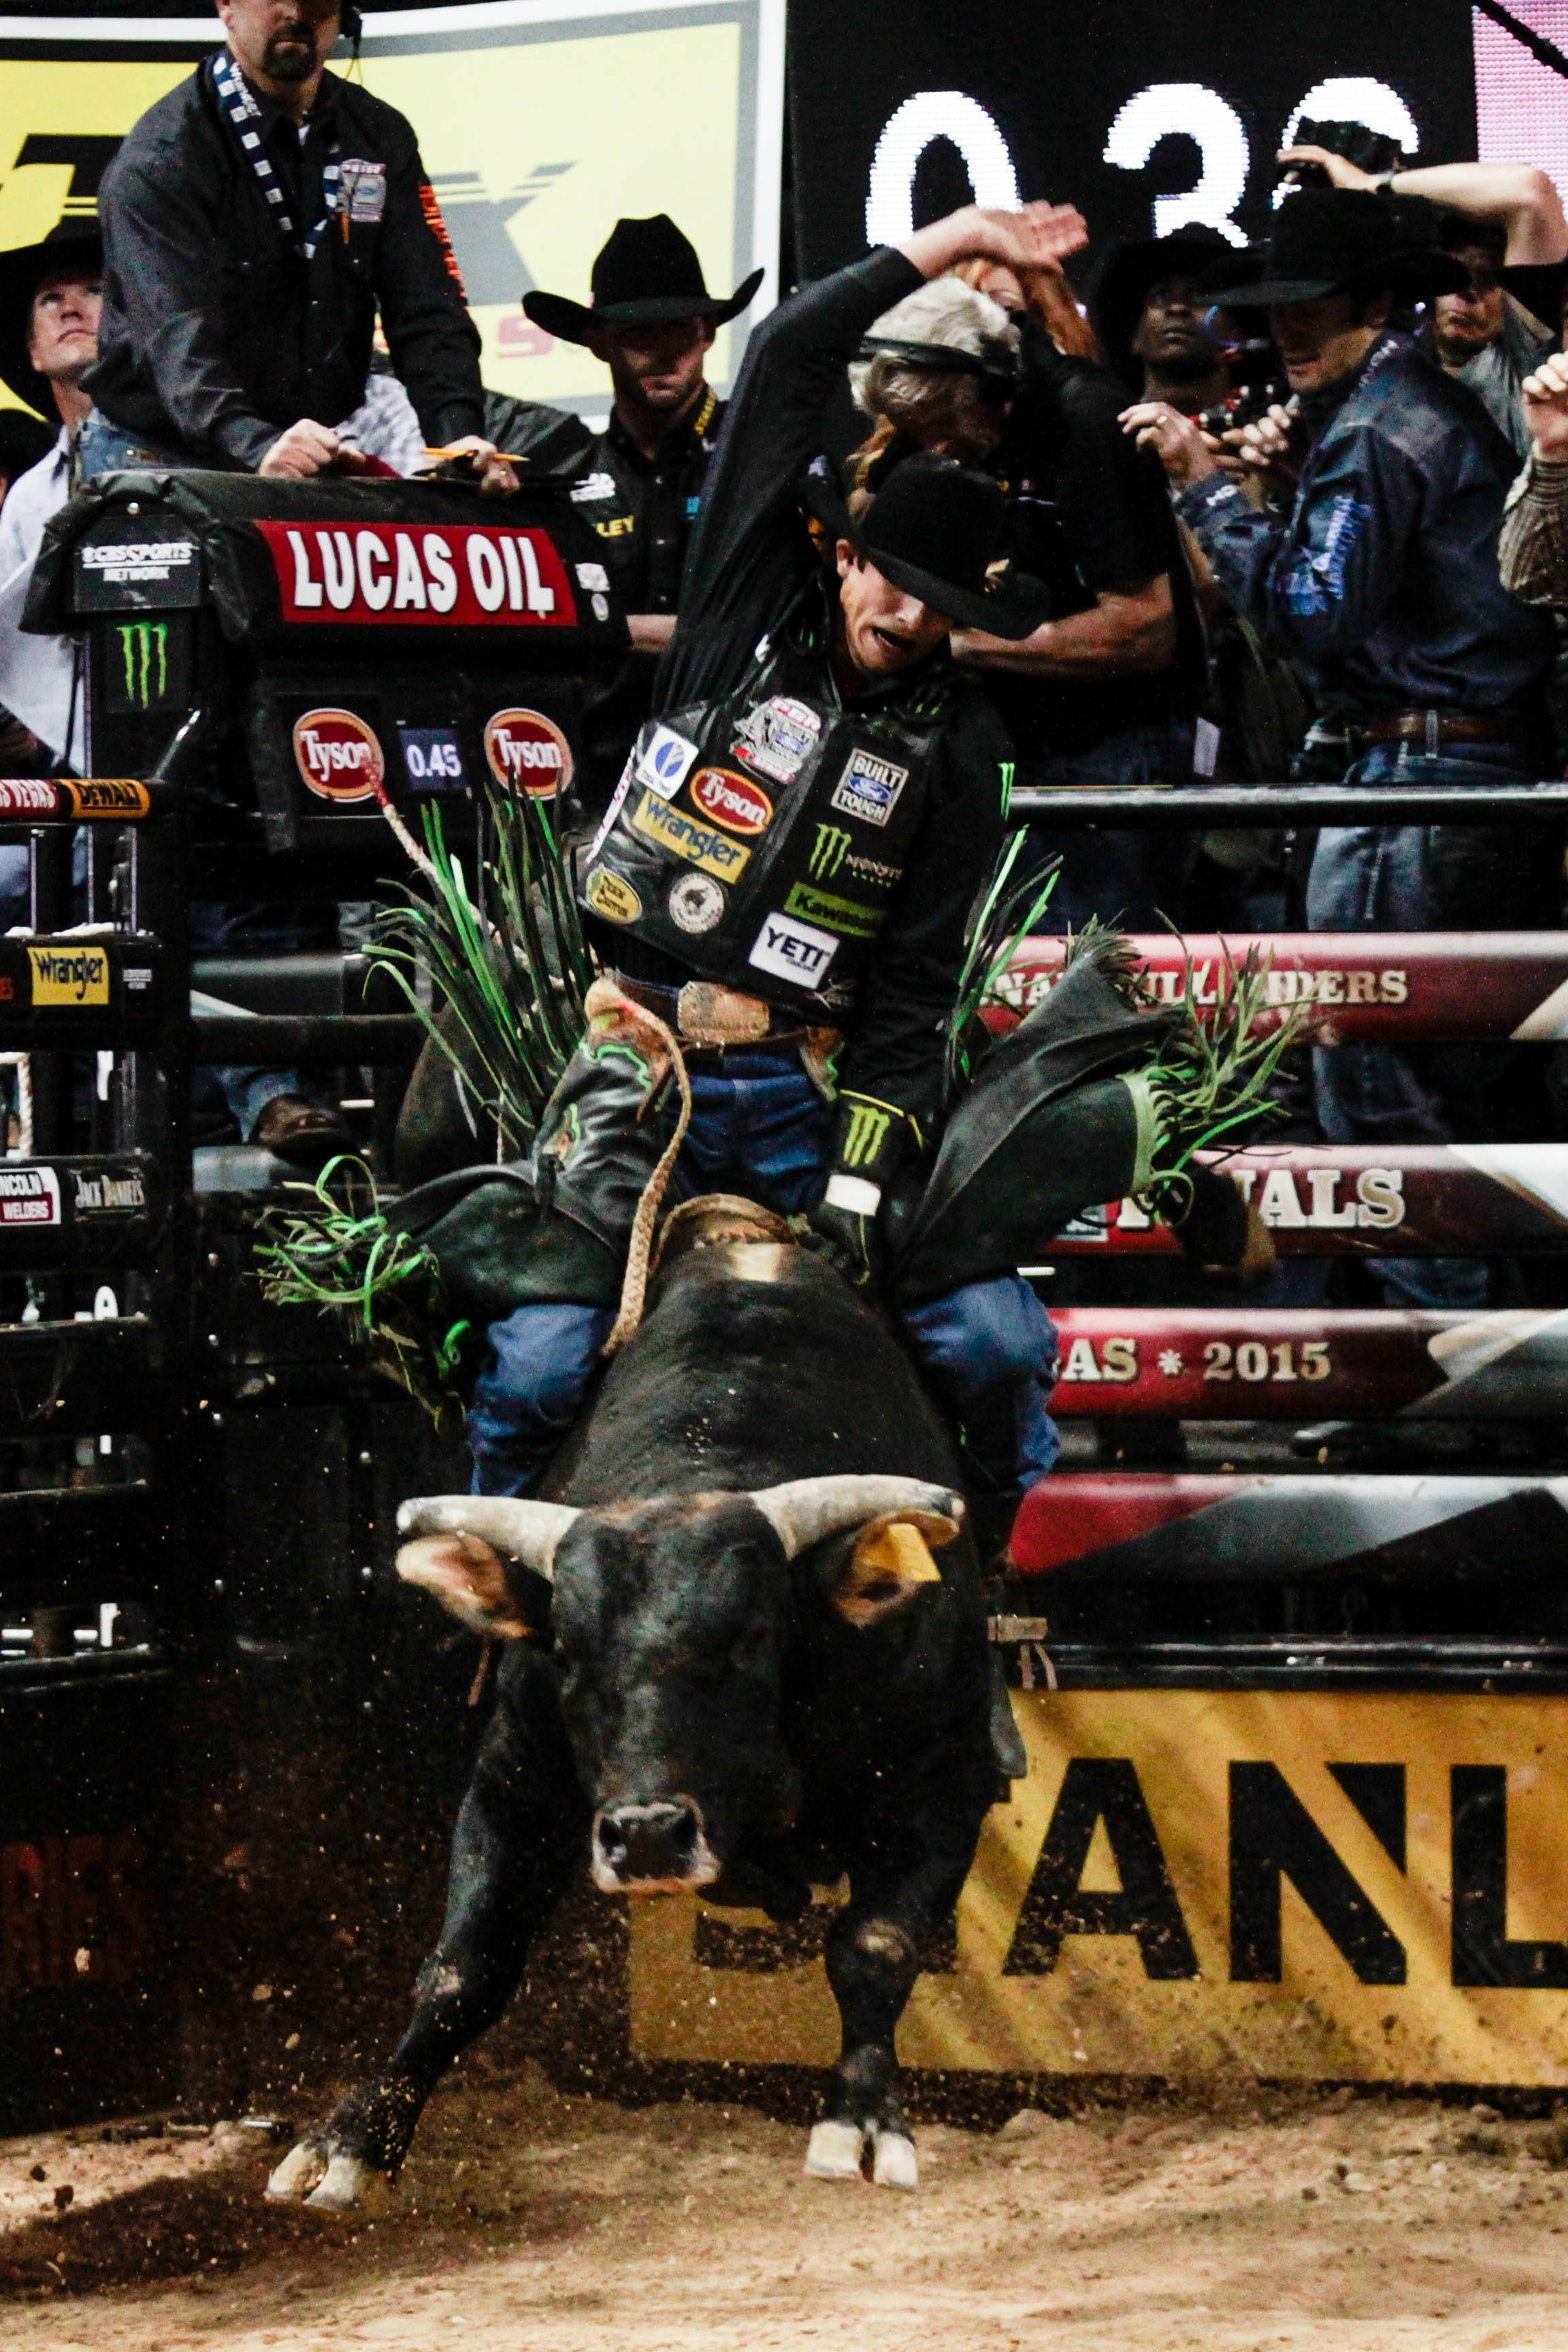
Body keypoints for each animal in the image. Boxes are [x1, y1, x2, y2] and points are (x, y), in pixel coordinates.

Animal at [267, 1232, 992, 2201]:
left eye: (755, 1637)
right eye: (568, 1648)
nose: (646, 1834)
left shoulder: (947, 1782)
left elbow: (873, 1945)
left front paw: (864, 2121)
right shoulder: (517, 1780)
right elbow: (463, 1970)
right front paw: (355, 2136)